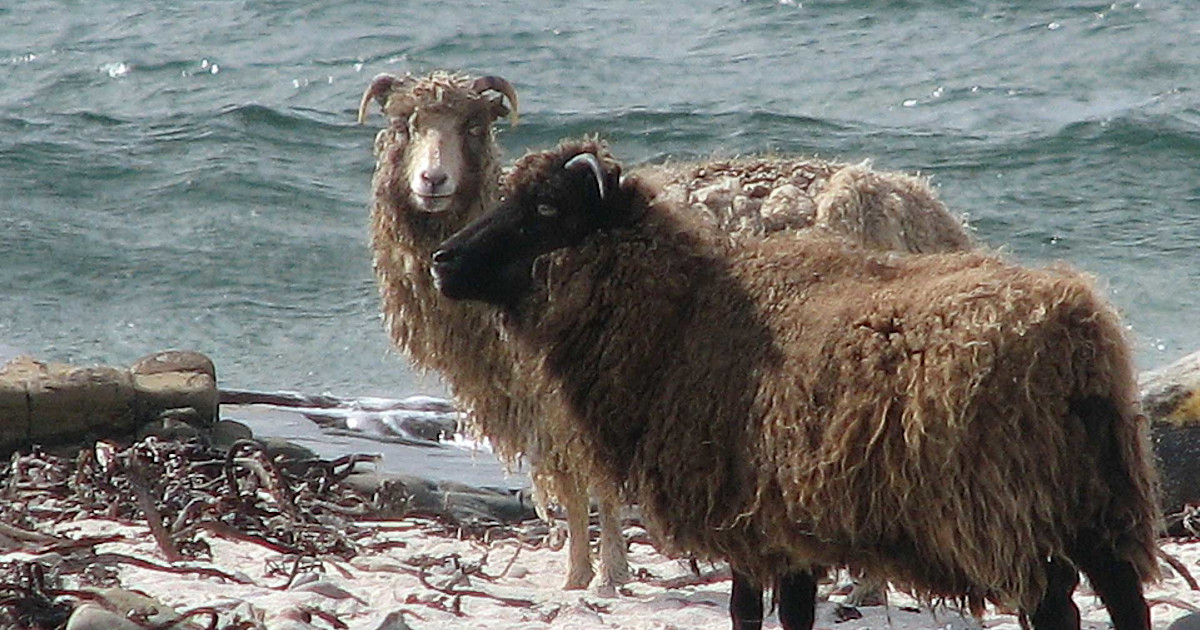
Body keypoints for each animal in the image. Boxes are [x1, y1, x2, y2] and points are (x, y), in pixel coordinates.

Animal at [360, 73, 973, 594]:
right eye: (404, 123)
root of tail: (923, 209)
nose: (432, 181)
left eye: (473, 124)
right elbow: (576, 493)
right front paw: (580, 577)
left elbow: (596, 490)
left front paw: (603, 577)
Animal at [429, 138, 1162, 630]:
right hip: (1100, 501)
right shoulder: (785, 529)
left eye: (547, 207)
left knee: (1057, 609)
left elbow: (751, 614)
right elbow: (787, 613)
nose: (443, 260)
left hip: (1010, 510)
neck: (684, 316)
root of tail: (1074, 325)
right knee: (1126, 601)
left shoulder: (751, 522)